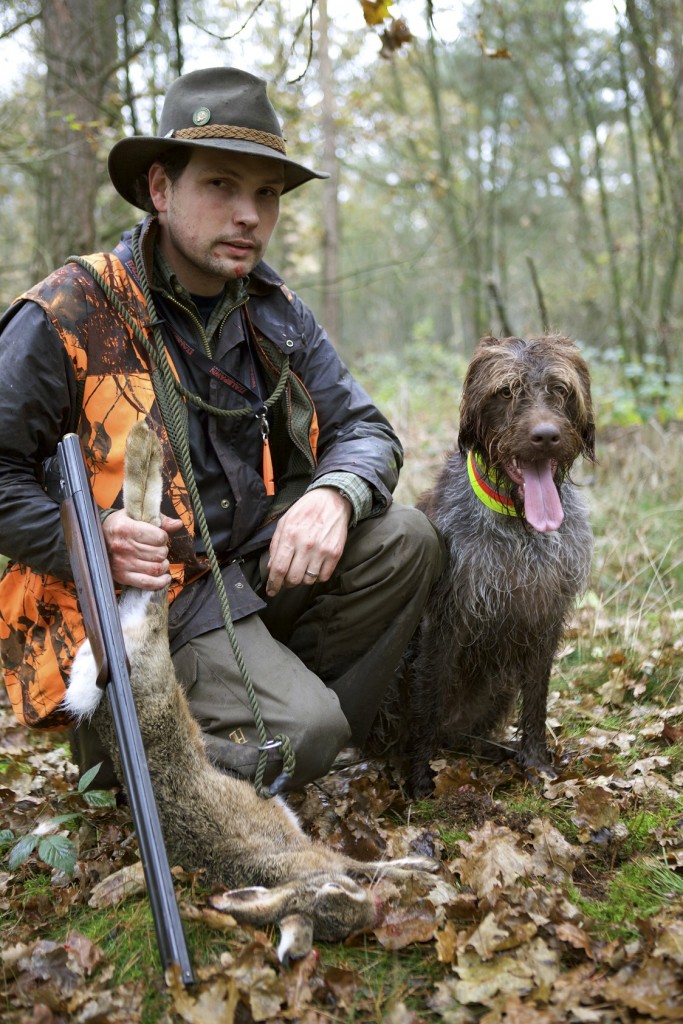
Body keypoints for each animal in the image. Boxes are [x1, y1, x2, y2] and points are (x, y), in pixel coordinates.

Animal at [403, 335, 593, 798]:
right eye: (506, 392)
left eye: (560, 389)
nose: (546, 436)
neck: (519, 526)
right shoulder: (445, 621)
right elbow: (428, 700)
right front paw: (417, 778)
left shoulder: (547, 618)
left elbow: (538, 699)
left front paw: (535, 760)